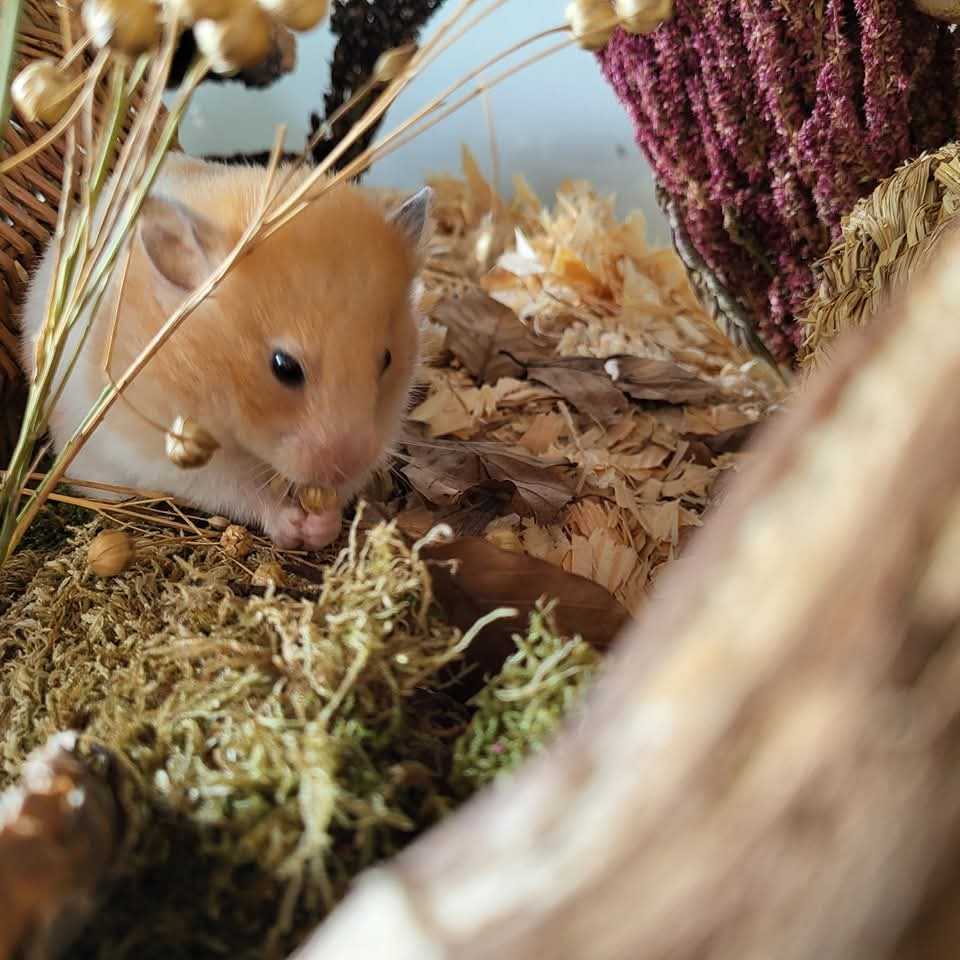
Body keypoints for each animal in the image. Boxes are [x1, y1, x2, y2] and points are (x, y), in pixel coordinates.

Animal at [19, 154, 432, 551]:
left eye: (387, 360)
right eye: (284, 367)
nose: (343, 467)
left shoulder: (382, 429)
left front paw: (321, 525)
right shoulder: (171, 456)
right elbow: (239, 490)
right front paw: (293, 525)